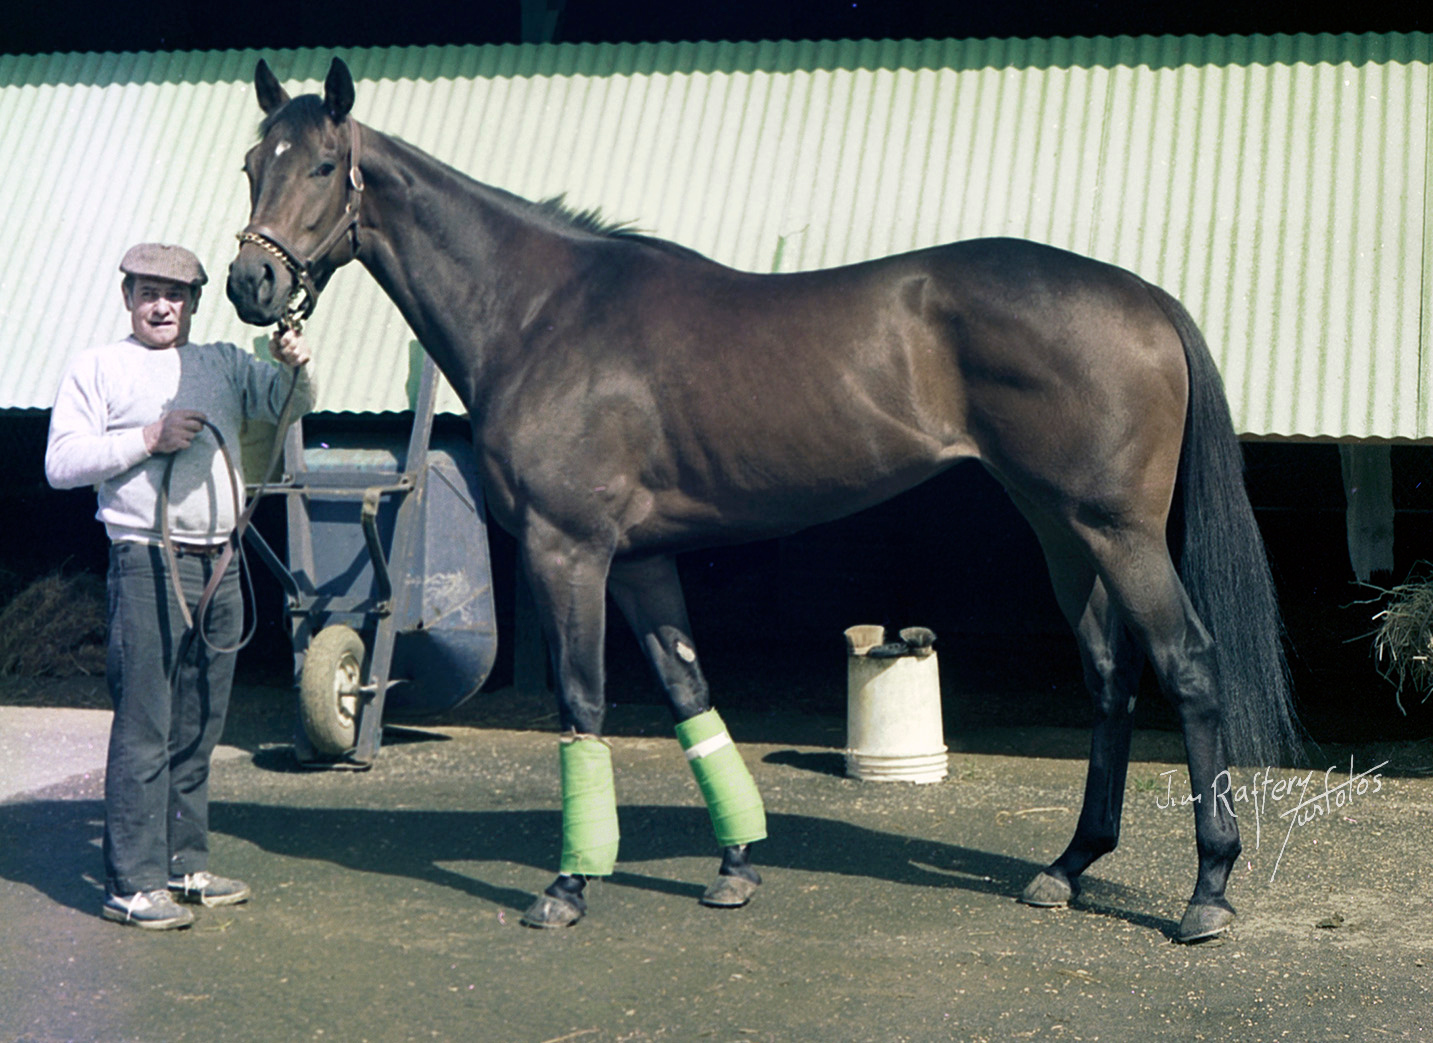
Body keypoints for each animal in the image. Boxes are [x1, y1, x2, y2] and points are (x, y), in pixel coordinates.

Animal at [223, 55, 1301, 939]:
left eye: (321, 166)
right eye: (249, 164)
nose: (248, 282)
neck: (543, 312)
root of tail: (1145, 297)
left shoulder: (568, 549)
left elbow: (583, 697)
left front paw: (569, 883)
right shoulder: (642, 558)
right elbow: (689, 692)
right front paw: (735, 863)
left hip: (1118, 530)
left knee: (1188, 663)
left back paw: (1206, 890)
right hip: (1061, 528)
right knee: (1110, 675)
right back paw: (1068, 866)